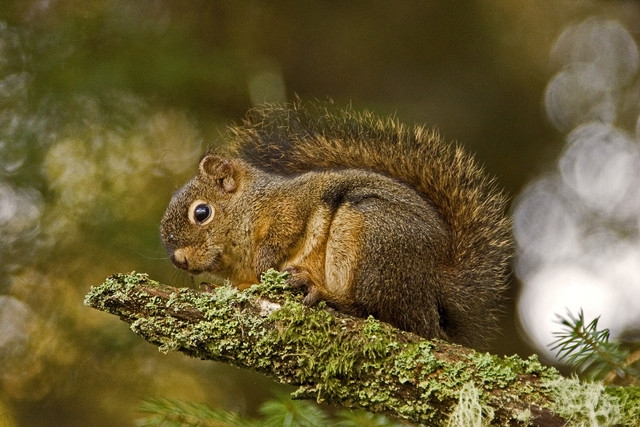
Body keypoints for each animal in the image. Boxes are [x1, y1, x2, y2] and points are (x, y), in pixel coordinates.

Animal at [160, 102, 512, 348]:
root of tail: (435, 286)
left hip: (372, 236)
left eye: (201, 212)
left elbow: (284, 233)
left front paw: (265, 263)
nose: (179, 260)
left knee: (376, 311)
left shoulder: (292, 205)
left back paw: (322, 292)